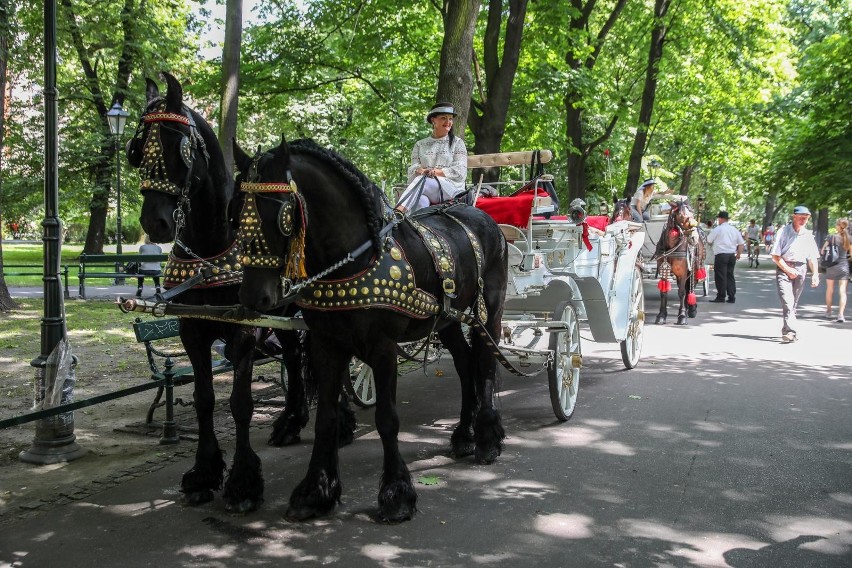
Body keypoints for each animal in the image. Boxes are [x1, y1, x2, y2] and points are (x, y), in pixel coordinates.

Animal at [124, 73, 350, 512]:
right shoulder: (192, 330)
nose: (155, 223)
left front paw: (243, 482)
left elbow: (241, 404)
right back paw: (291, 422)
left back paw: (343, 422)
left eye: (180, 146)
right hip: (285, 316)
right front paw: (203, 473)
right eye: (138, 149)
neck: (210, 250)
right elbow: (204, 399)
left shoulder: (245, 330)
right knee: (294, 357)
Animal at [233, 139, 510, 524]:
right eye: (236, 213)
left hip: (490, 311)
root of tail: (480, 214)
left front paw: (396, 494)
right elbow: (326, 418)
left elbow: (387, 418)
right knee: (465, 362)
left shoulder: (383, 348)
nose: (252, 296)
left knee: (485, 365)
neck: (355, 260)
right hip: (448, 319)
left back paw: (486, 438)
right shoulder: (326, 345)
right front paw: (315, 491)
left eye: (283, 215)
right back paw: (464, 435)